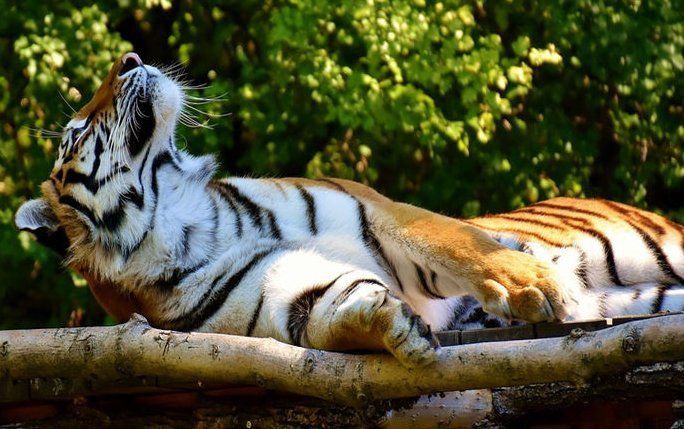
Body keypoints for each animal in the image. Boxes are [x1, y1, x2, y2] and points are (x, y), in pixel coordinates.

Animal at [15, 52, 684, 367]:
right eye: (77, 131)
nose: (130, 59)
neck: (185, 224)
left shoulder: (381, 212)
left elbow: (458, 242)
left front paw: (533, 285)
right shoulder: (278, 297)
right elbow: (330, 309)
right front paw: (388, 325)